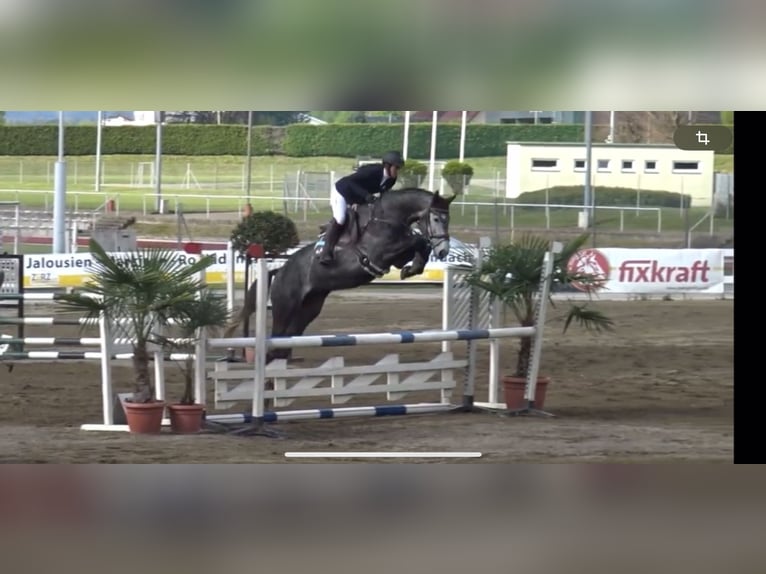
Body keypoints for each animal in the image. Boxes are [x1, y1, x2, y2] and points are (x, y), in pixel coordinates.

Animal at [228, 188, 456, 364]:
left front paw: (412, 269)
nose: (444, 251)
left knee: (283, 344)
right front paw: (413, 266)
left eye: (448, 219)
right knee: (275, 341)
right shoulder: (379, 255)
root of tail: (280, 271)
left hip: (308, 309)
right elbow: (417, 241)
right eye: (436, 218)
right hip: (285, 306)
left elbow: (420, 245)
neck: (386, 219)